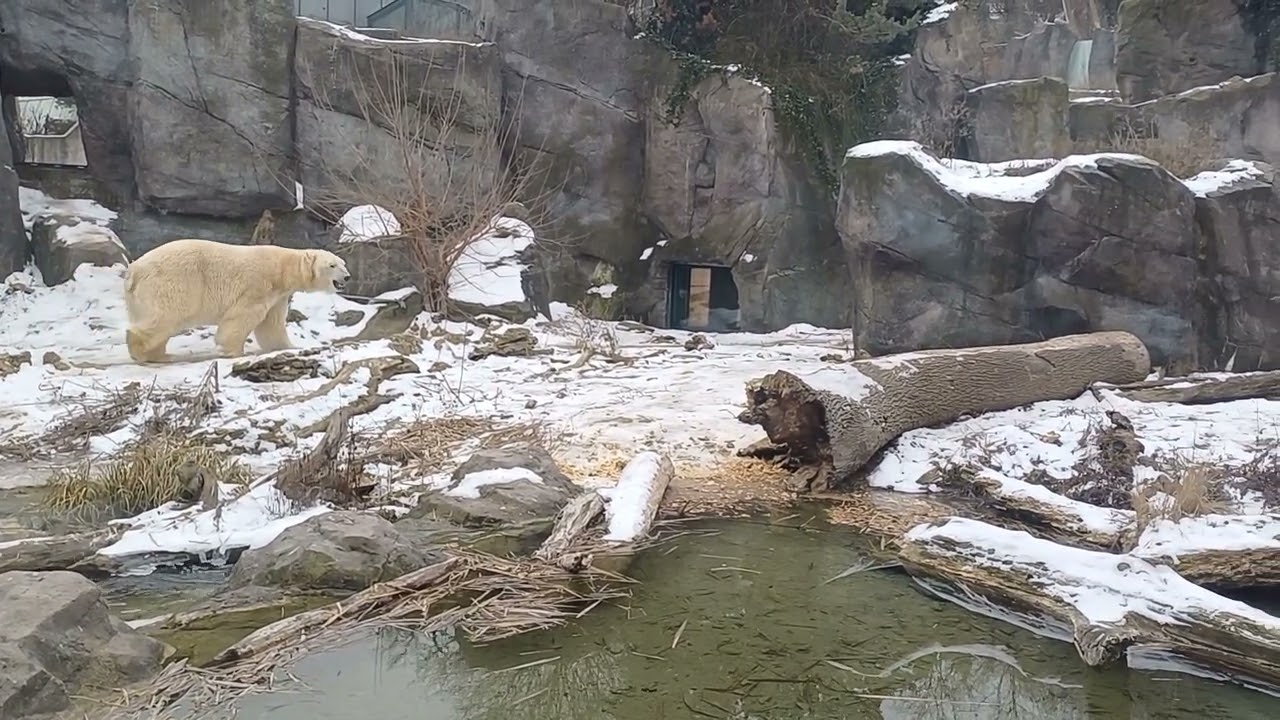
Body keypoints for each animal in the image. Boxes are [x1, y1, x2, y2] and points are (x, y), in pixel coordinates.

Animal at [123, 239, 350, 363]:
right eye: (332, 265)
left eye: (343, 263)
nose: (347, 277)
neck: (283, 269)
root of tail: (133, 271)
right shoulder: (258, 284)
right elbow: (243, 315)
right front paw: (233, 351)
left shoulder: (278, 296)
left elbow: (271, 325)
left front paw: (289, 347)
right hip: (174, 283)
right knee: (165, 316)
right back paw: (142, 352)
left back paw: (159, 355)